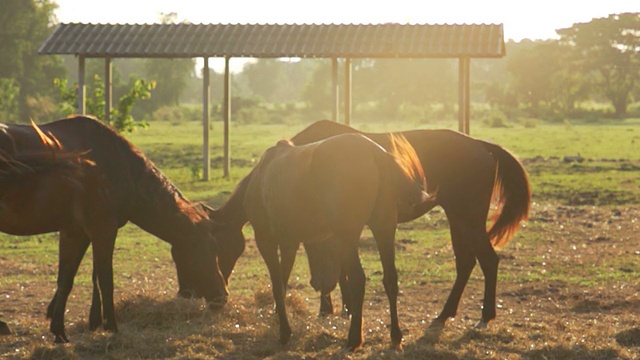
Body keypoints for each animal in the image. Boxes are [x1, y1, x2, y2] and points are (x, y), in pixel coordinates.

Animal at [0, 118, 229, 344]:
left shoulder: (75, 233)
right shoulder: (103, 230)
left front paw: (59, 331)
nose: (222, 296)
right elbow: (105, 279)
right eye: (204, 249)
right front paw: (111, 326)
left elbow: (65, 280)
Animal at [212, 133, 438, 352]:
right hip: (384, 228)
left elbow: (277, 285)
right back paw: (395, 337)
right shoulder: (289, 243)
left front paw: (284, 333)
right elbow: (283, 284)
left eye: (216, 245)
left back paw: (353, 340)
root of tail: (376, 153)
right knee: (390, 279)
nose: (220, 293)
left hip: (348, 236)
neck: (261, 177)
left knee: (358, 279)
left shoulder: (266, 241)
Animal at [288, 120, 532, 330]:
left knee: (488, 261)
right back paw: (445, 314)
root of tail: (481, 145)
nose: (318, 284)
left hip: (469, 218)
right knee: (466, 263)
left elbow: (341, 269)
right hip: (457, 218)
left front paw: (336, 309)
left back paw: (485, 316)